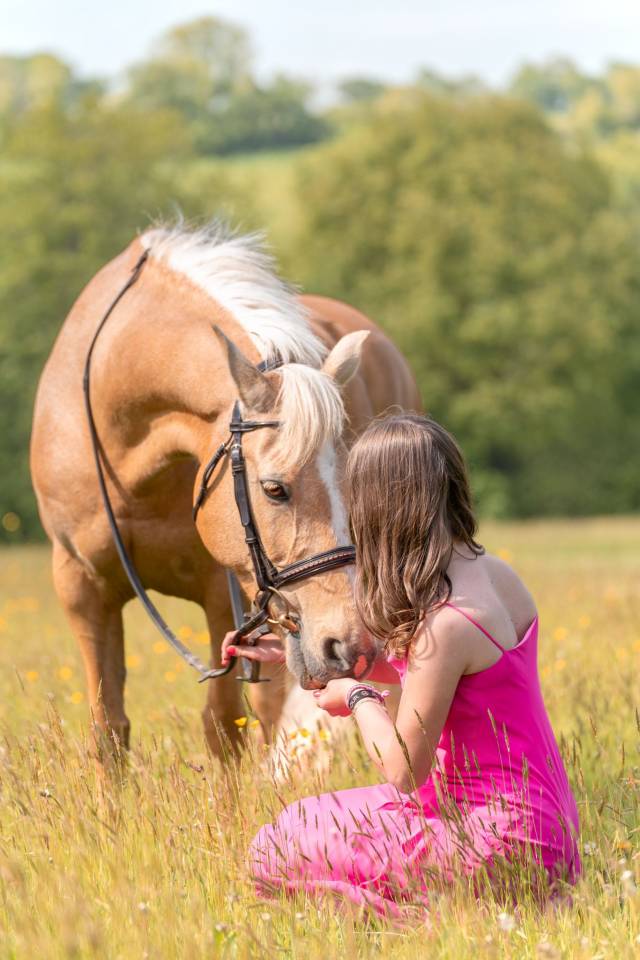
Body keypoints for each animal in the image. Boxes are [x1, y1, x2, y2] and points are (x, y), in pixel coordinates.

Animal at [31, 222, 420, 758]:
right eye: (274, 489)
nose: (350, 645)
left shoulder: (223, 592)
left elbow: (223, 727)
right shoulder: (82, 586)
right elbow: (108, 730)